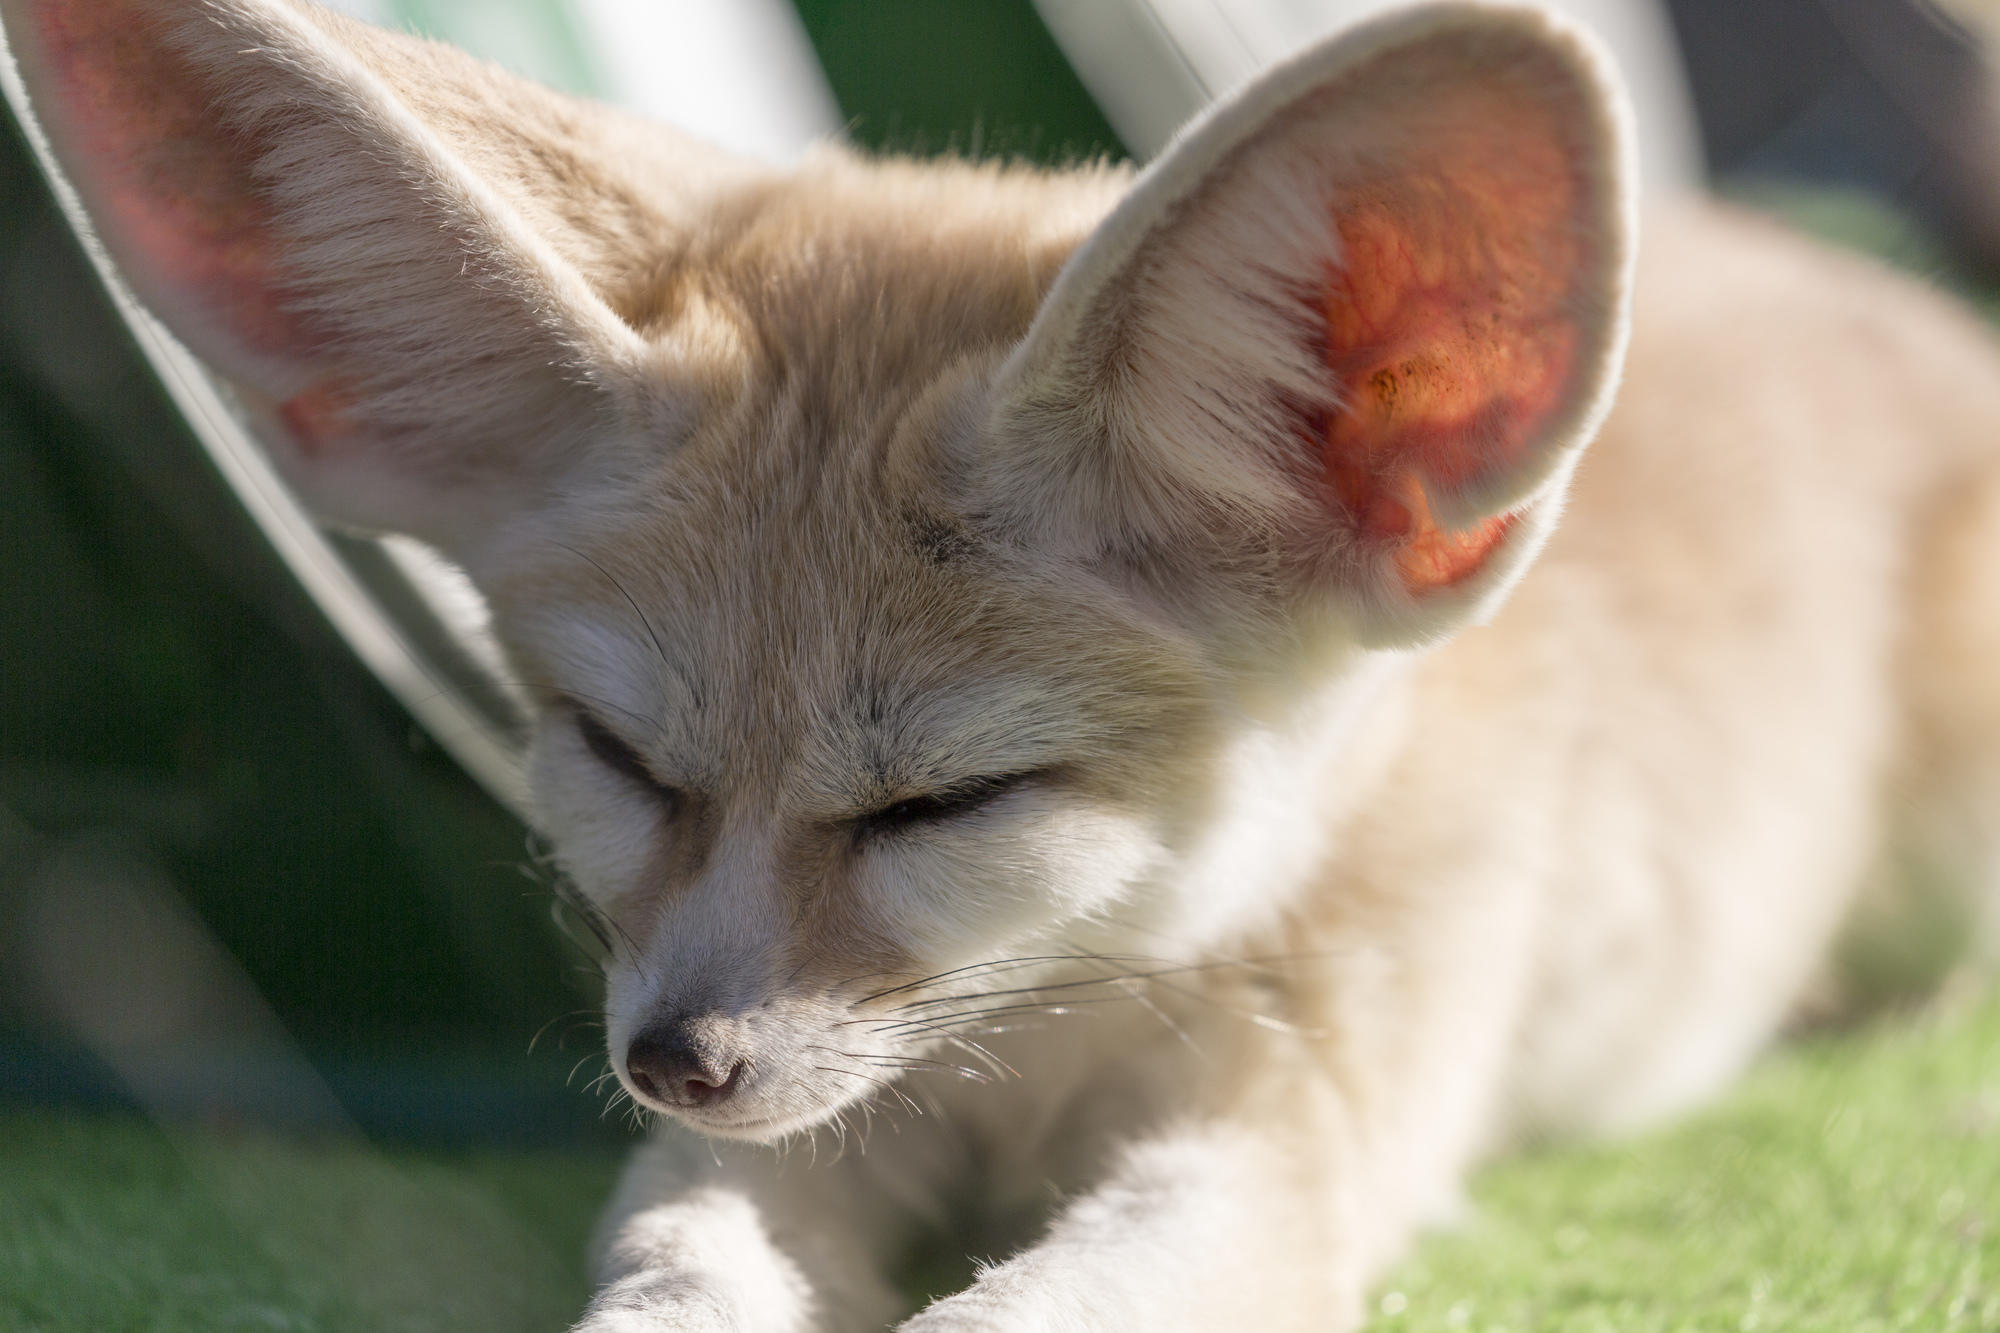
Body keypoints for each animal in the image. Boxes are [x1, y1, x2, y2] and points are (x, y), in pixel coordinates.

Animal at [7, 0, 1992, 1320]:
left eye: (950, 800)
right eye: (621, 756)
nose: (672, 1060)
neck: (1045, 1038)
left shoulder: (1301, 1137)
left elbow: (1037, 1306)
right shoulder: (799, 1111)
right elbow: (675, 1267)